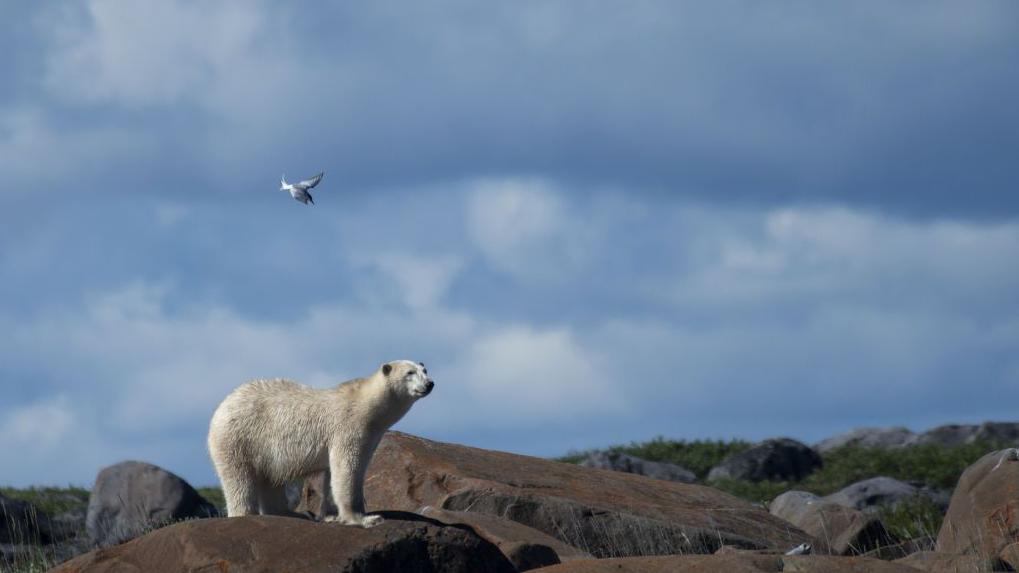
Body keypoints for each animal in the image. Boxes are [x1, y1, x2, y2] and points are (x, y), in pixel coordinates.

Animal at [204, 358, 432, 526]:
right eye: (409, 373)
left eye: (424, 369)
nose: (429, 384)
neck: (366, 405)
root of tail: (222, 406)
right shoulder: (348, 428)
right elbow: (347, 469)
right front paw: (364, 518)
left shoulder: (370, 436)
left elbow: (337, 474)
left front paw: (332, 515)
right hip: (239, 439)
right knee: (239, 480)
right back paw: (246, 513)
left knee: (270, 480)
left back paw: (292, 513)